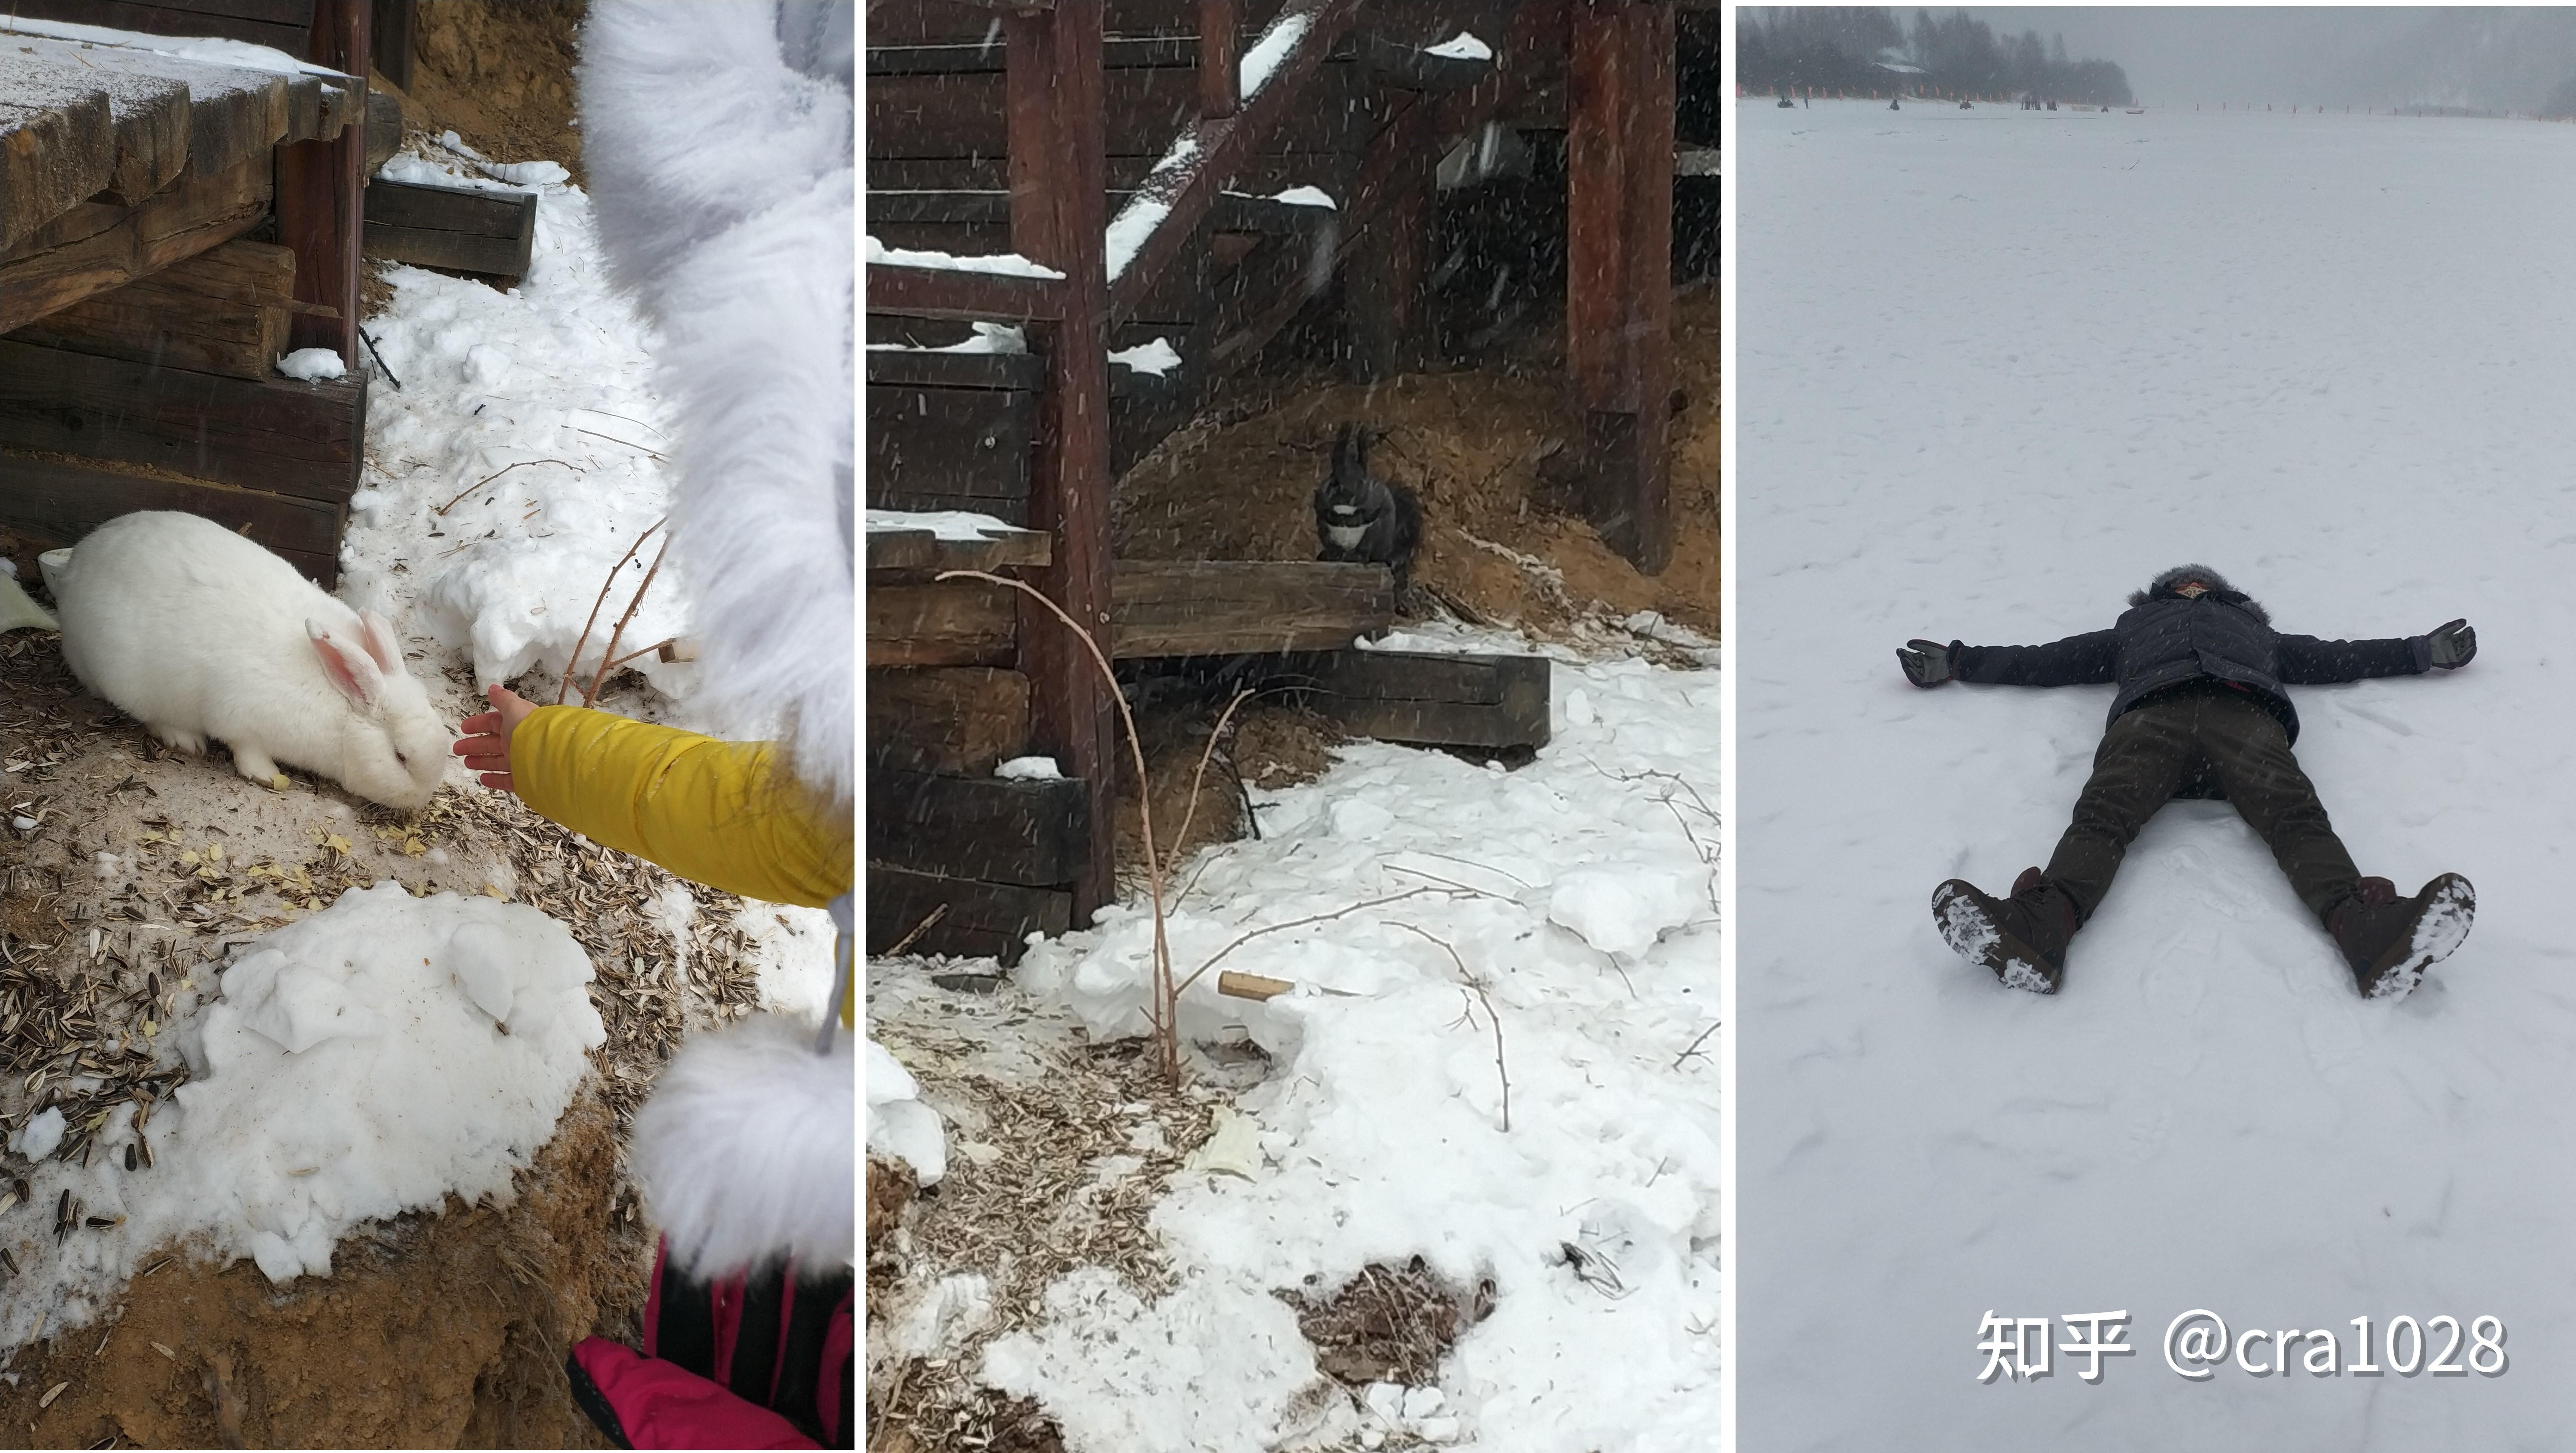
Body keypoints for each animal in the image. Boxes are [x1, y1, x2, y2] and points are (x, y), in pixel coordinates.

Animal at [52, 510, 453, 814]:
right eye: (400, 757)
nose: (422, 800)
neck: (340, 710)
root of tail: (77, 566)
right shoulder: (239, 717)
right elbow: (246, 749)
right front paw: (264, 775)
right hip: (129, 679)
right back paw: (186, 741)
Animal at [1319, 422, 1422, 587]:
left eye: (1363, 480)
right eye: (1333, 479)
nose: (1346, 495)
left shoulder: (1376, 500)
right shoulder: (1321, 502)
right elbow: (1326, 517)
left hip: (1378, 537)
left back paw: (1359, 556)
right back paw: (1335, 555)